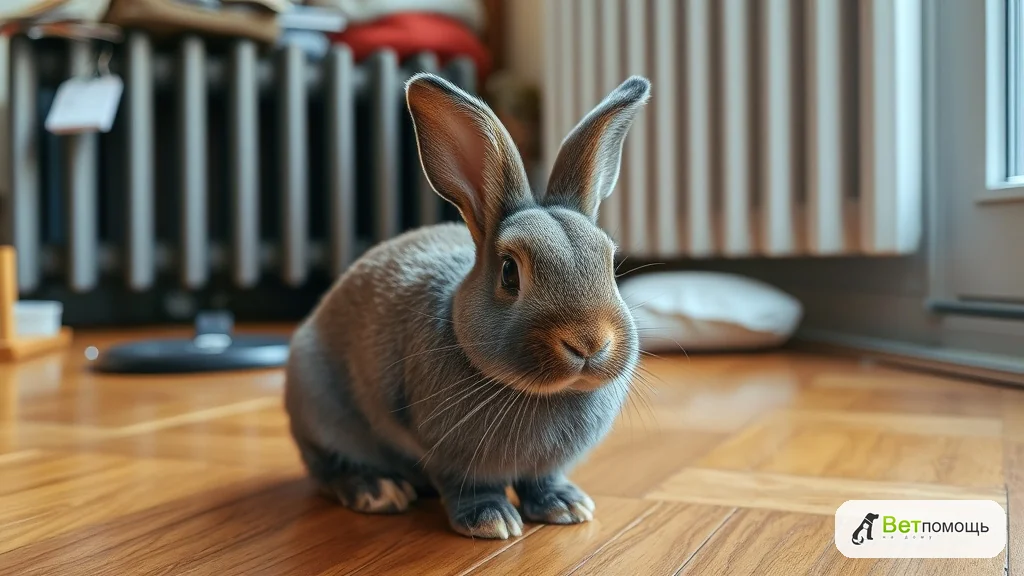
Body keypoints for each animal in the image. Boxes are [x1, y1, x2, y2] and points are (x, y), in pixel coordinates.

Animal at [284, 72, 650, 539]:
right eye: (510, 273)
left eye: (611, 262)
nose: (589, 343)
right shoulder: (451, 458)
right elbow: (469, 486)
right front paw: (491, 521)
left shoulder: (545, 466)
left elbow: (543, 479)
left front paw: (566, 507)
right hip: (321, 411)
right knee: (328, 468)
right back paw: (377, 489)